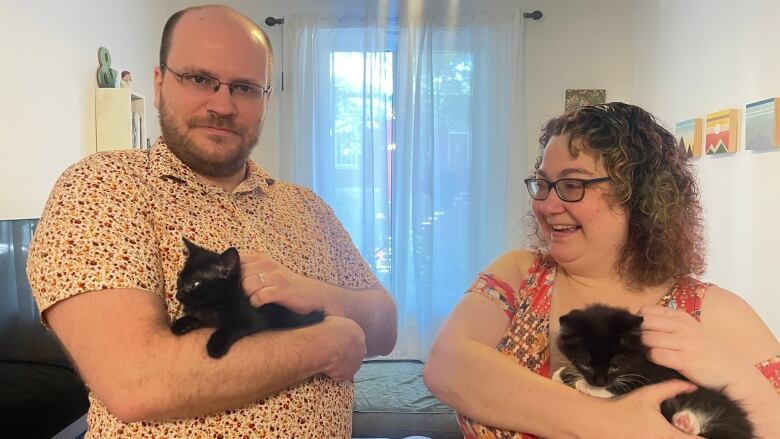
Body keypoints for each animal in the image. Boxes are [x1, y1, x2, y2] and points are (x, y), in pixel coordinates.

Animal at [172, 239, 324, 360]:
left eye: (194, 284)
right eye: (180, 279)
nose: (178, 296)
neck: (216, 303)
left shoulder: (253, 318)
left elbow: (230, 328)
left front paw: (215, 345)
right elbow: (200, 318)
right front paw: (182, 323)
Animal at [552, 306, 752, 439]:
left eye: (615, 365)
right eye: (585, 363)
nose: (599, 381)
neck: (637, 356)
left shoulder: (650, 372)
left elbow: (630, 383)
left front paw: (587, 387)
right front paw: (562, 375)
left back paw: (686, 423)